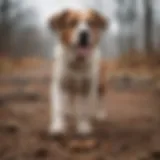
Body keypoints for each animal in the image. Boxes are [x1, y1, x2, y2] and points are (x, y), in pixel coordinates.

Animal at [48, 8, 108, 136]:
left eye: (90, 23)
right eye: (72, 22)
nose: (84, 34)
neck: (77, 62)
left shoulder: (86, 87)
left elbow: (84, 109)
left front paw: (83, 127)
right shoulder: (60, 85)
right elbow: (59, 108)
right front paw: (58, 127)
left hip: (101, 85)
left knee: (100, 99)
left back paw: (100, 114)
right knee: (70, 100)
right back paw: (68, 113)